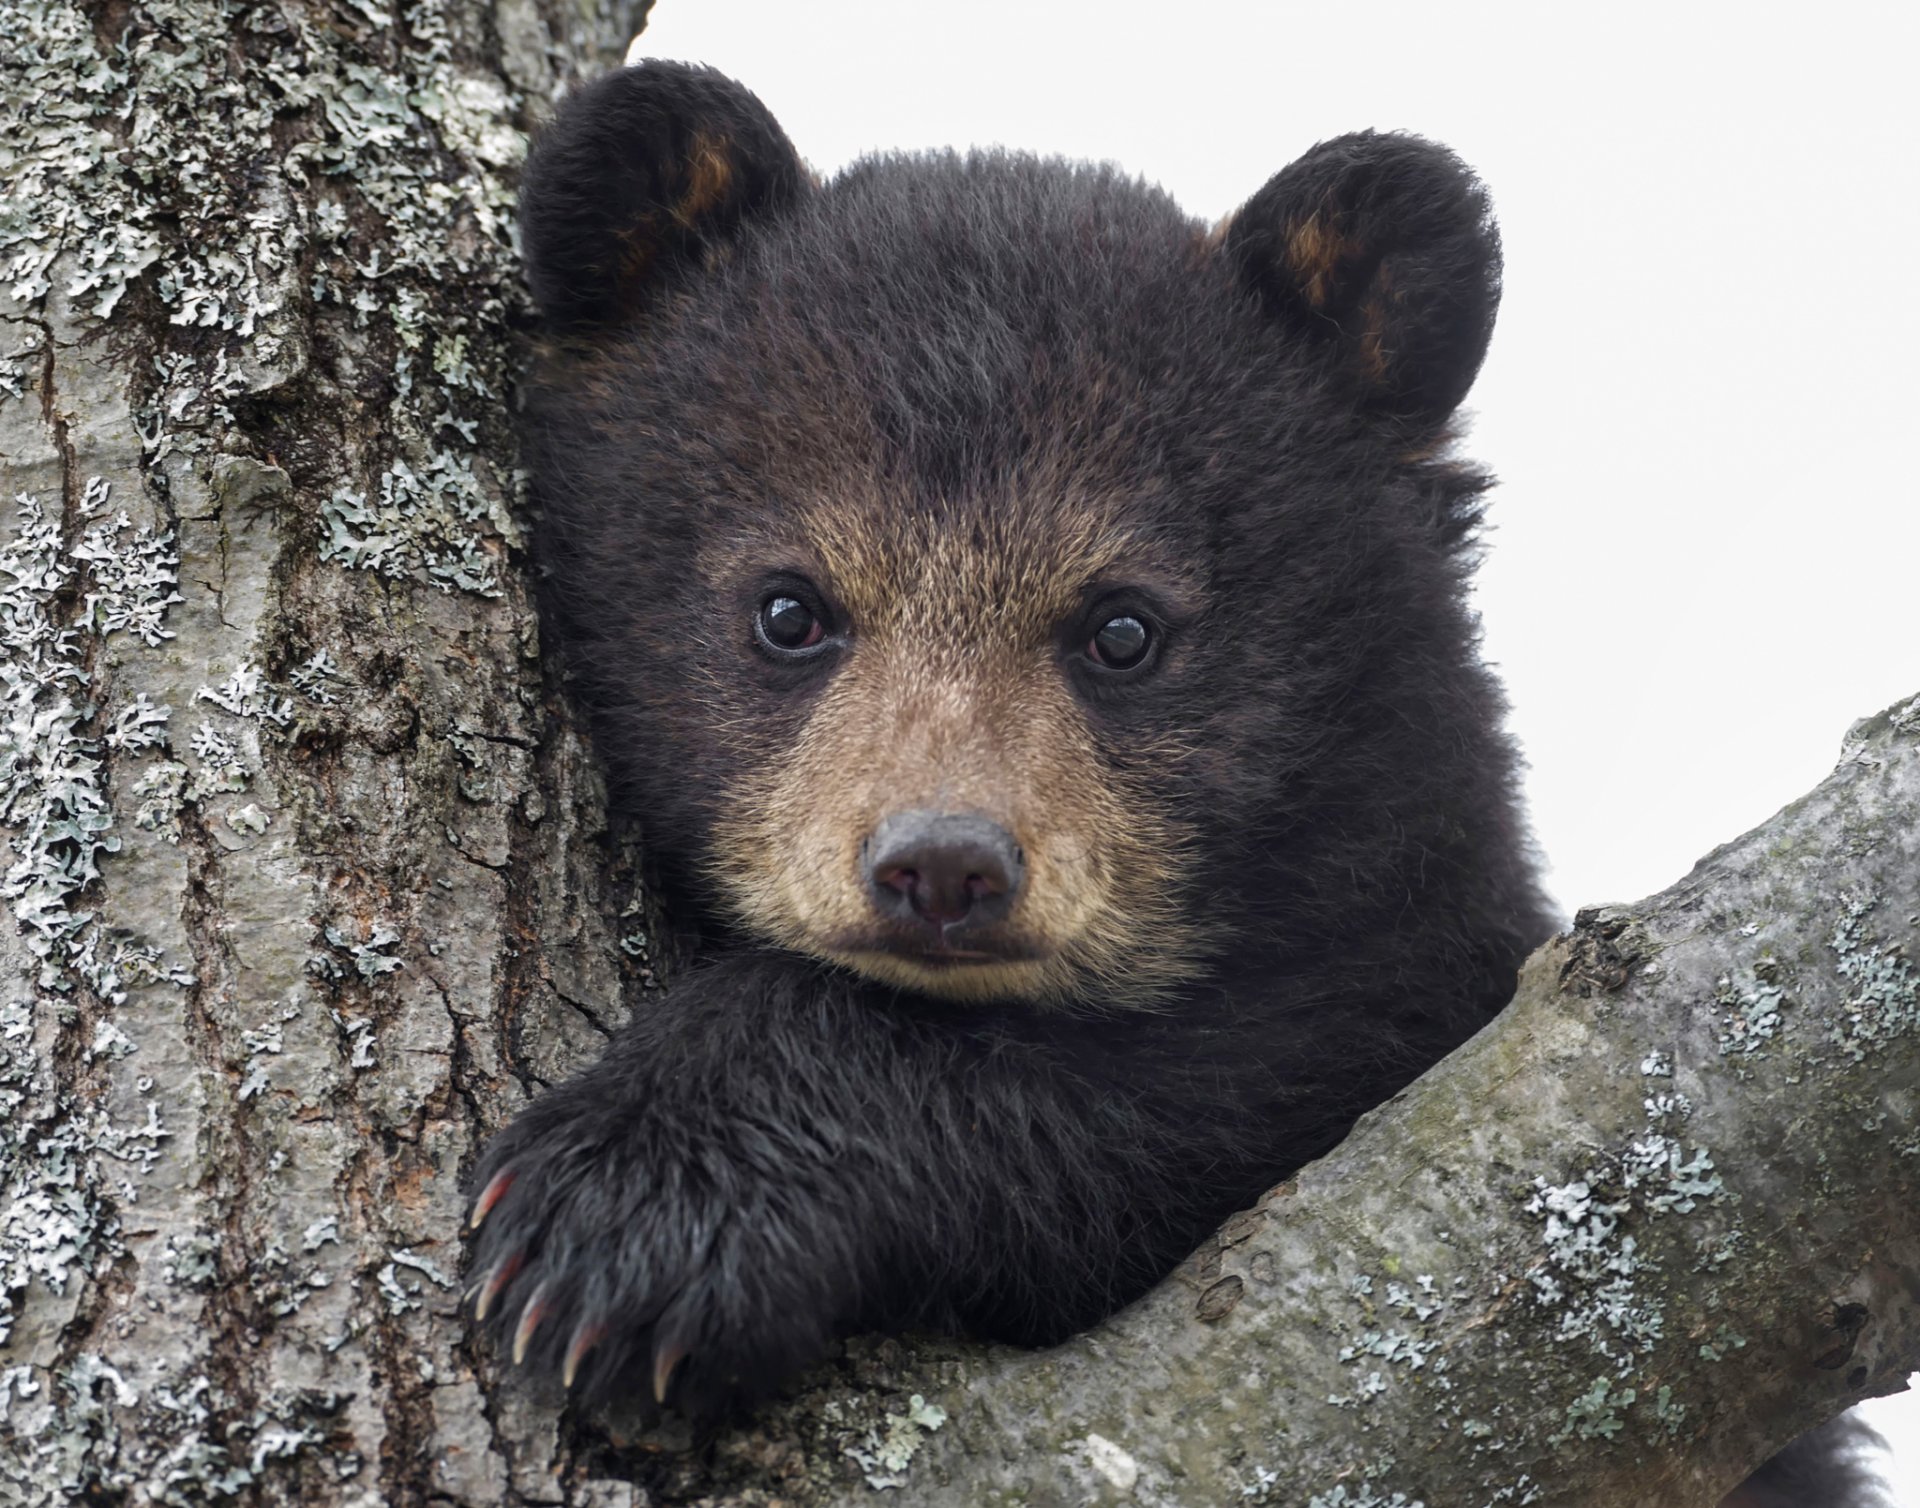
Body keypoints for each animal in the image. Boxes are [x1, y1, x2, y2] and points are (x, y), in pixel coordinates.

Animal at [466, 59, 1886, 1501]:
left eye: (1123, 627)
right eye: (789, 608)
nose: (944, 864)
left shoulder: (1416, 978)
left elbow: (1217, 1091)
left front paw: (627, 1212)